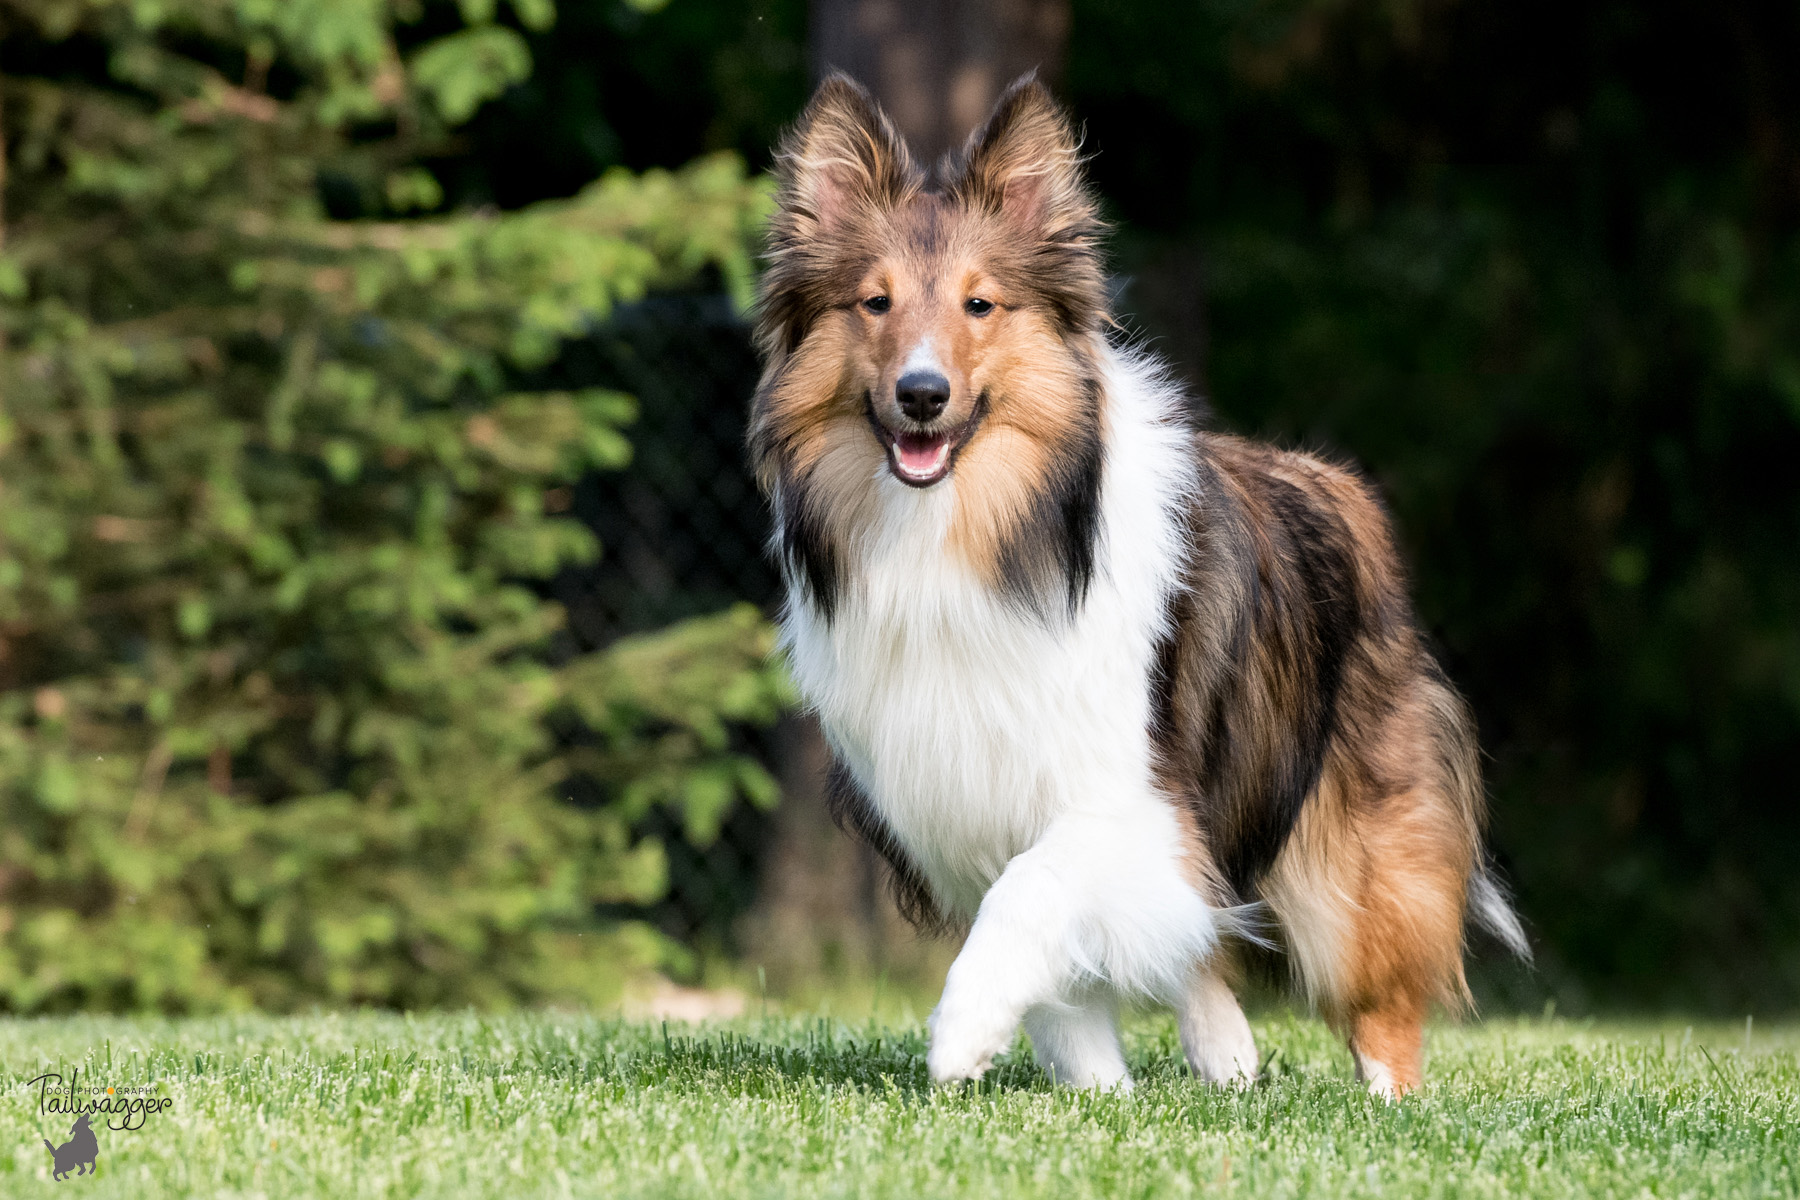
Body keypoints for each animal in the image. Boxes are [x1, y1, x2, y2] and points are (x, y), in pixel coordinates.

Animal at [741, 70, 1519, 1093]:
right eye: (874, 303)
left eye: (981, 305)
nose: (921, 395)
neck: (966, 536)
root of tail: (1343, 490)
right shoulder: (967, 799)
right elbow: (1067, 989)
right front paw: (1096, 1091)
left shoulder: (1126, 796)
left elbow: (1032, 892)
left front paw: (961, 1028)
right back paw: (1226, 1055)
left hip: (1356, 855)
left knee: (1379, 988)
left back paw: (1390, 1100)